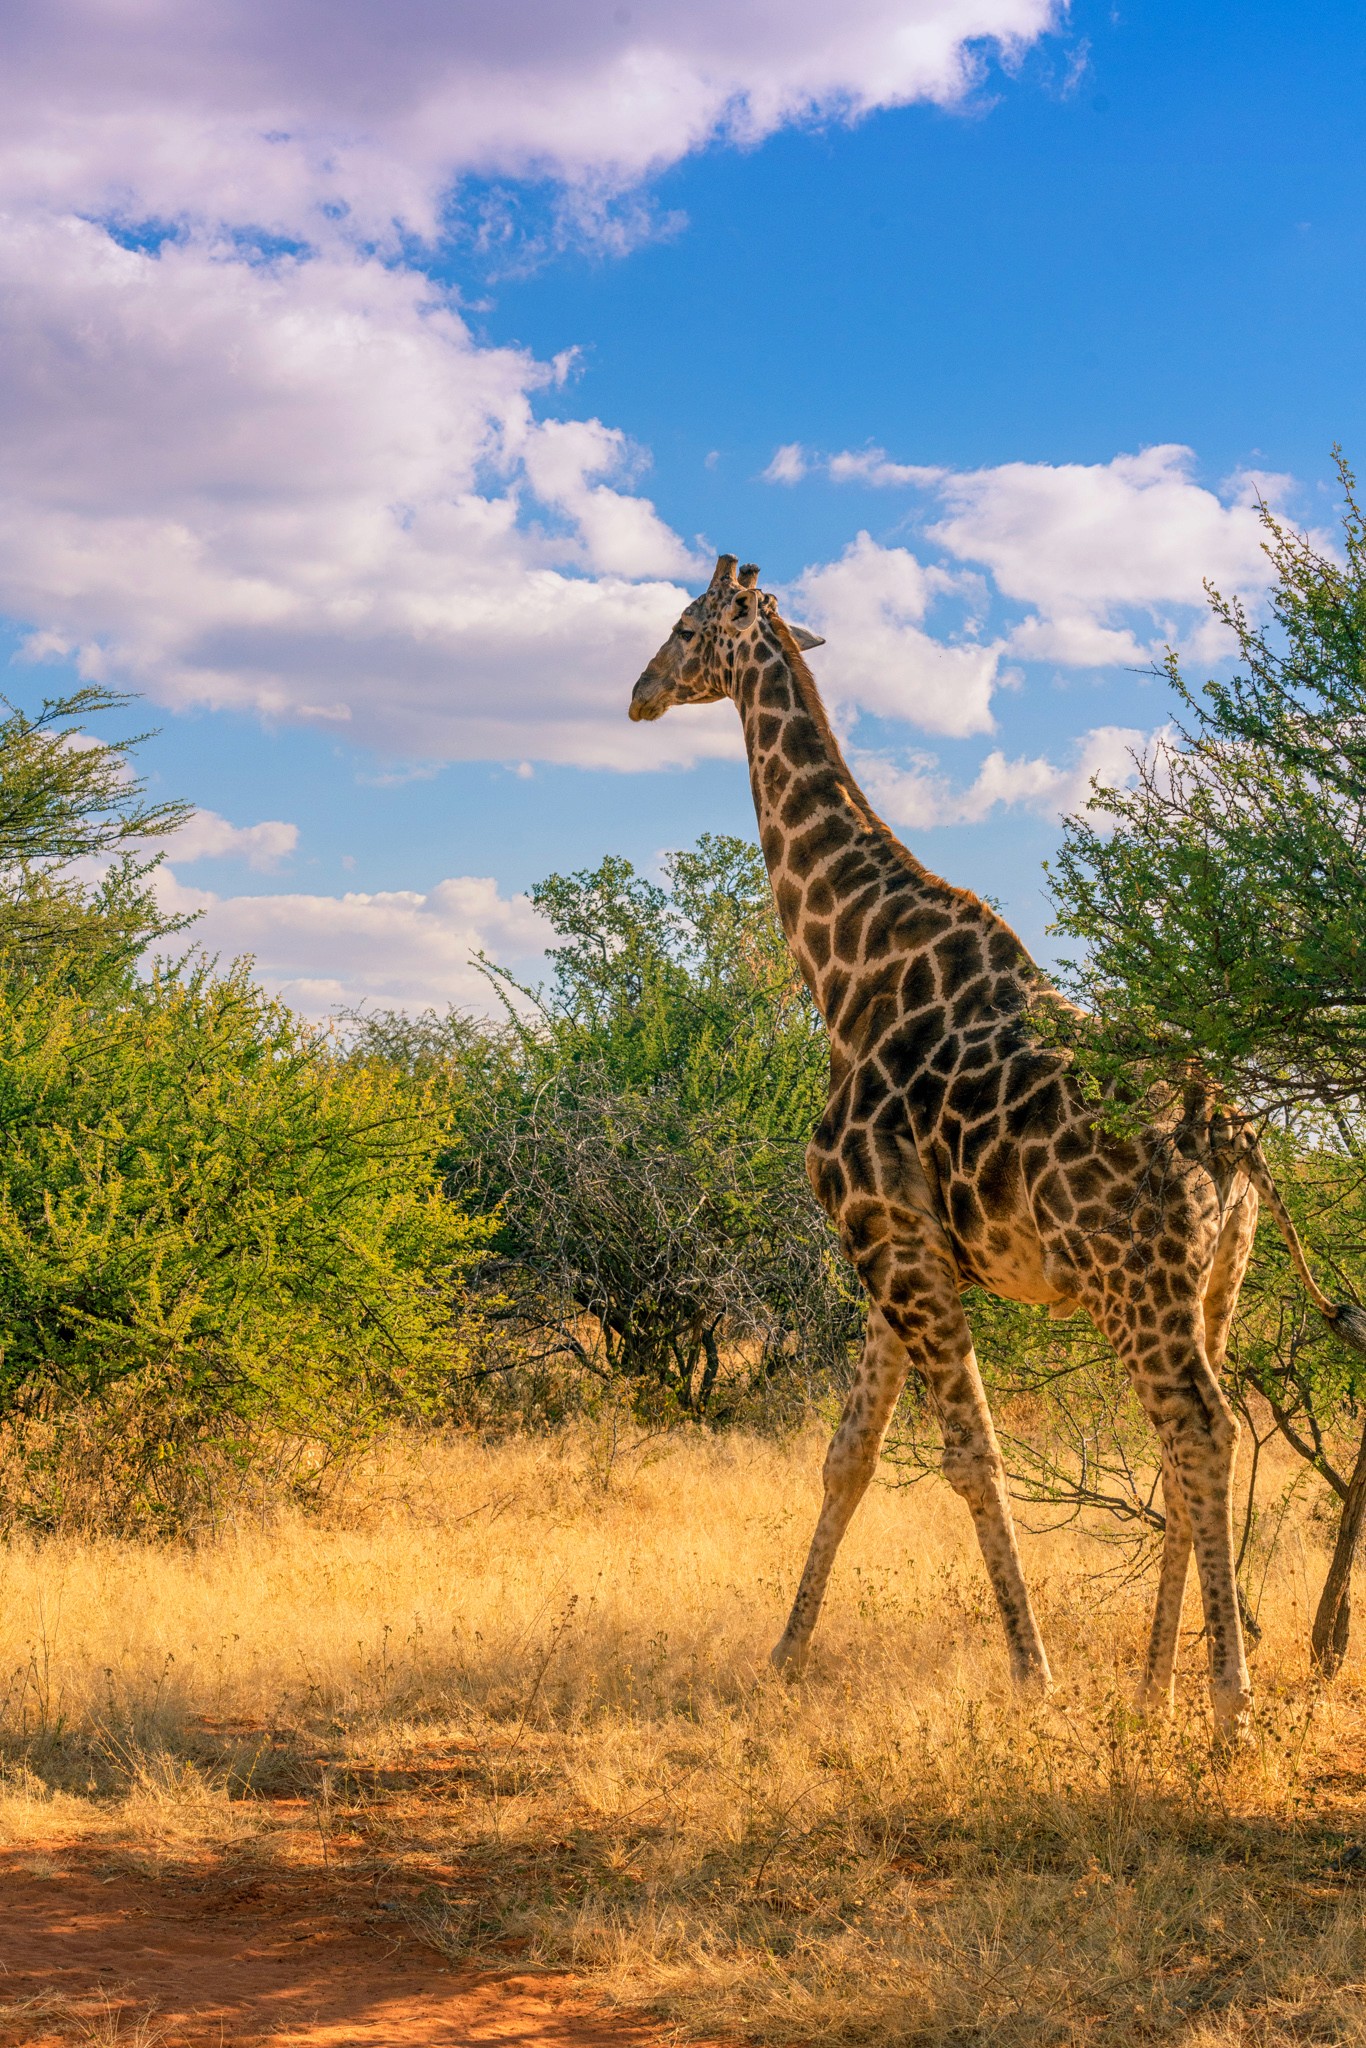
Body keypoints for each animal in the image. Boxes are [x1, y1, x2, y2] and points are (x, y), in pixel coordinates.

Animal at [630, 548, 1366, 1728]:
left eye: (687, 624)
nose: (638, 693)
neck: (847, 976)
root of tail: (1233, 1141)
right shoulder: (904, 1247)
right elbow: (849, 1453)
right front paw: (783, 1657)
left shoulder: (889, 1239)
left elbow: (969, 1457)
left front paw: (1033, 1671)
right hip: (1220, 1280)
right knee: (1192, 1443)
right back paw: (1155, 1685)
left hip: (1135, 1283)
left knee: (1200, 1429)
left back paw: (1226, 1704)